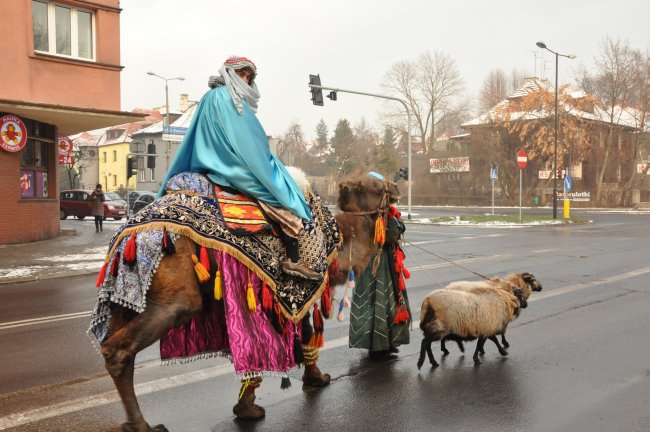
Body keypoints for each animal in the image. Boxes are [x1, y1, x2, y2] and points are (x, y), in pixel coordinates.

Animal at [99, 173, 400, 432]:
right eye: (375, 186)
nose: (396, 187)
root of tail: (125, 237)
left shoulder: (290, 298)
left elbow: (296, 333)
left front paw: (249, 404)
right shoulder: (298, 289)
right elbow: (289, 336)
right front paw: (314, 380)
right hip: (176, 288)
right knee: (120, 350)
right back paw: (142, 425)